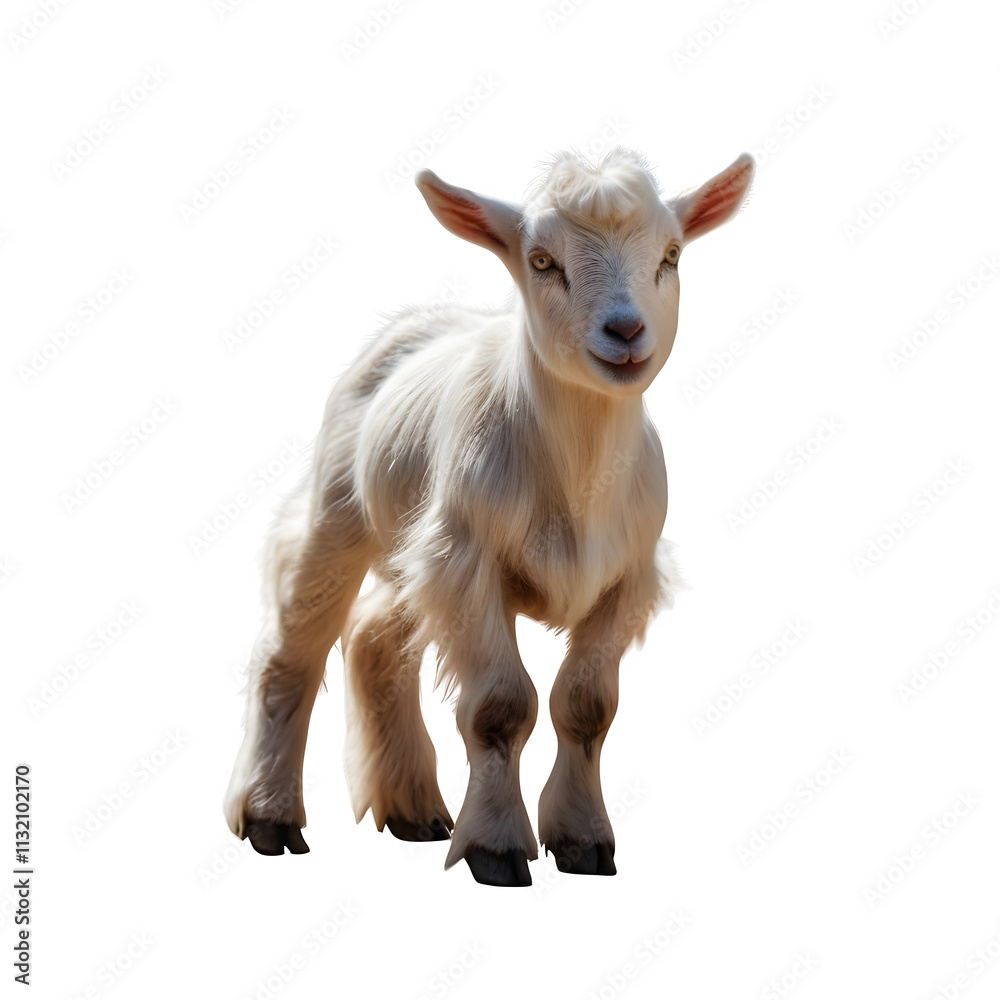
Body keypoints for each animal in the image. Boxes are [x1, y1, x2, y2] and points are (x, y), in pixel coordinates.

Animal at [223, 148, 754, 886]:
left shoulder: (627, 578)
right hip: (340, 511)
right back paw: (270, 817)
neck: (580, 472)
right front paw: (497, 848)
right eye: (542, 260)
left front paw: (584, 840)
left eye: (671, 255)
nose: (625, 330)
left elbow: (586, 707)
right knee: (290, 649)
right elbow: (503, 708)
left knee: (375, 640)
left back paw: (414, 811)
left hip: (416, 548)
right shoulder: (469, 563)